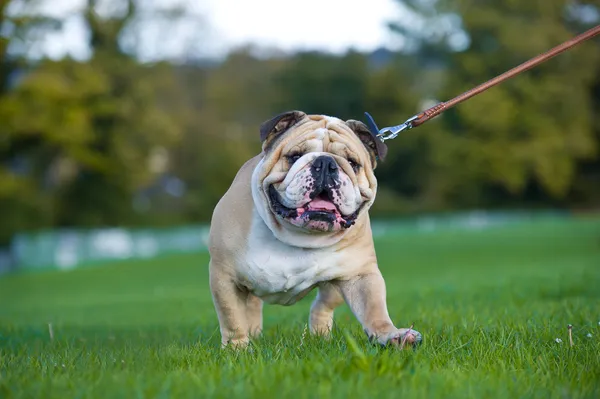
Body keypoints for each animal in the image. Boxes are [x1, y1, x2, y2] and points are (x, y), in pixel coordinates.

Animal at [207, 111, 422, 348]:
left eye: (352, 163)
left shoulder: (360, 274)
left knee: (322, 305)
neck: (297, 236)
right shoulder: (226, 278)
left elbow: (374, 309)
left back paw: (321, 335)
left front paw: (392, 335)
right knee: (251, 309)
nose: (326, 163)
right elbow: (232, 318)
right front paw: (237, 349)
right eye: (294, 156)